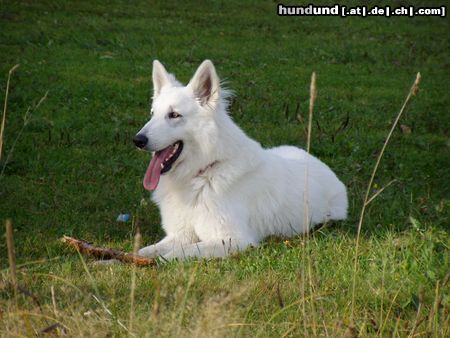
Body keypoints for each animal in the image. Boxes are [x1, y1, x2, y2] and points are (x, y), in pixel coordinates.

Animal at [134, 60, 348, 258]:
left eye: (174, 115)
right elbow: (145, 251)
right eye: (152, 114)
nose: (137, 140)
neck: (203, 173)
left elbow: (177, 253)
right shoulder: (180, 235)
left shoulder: (233, 239)